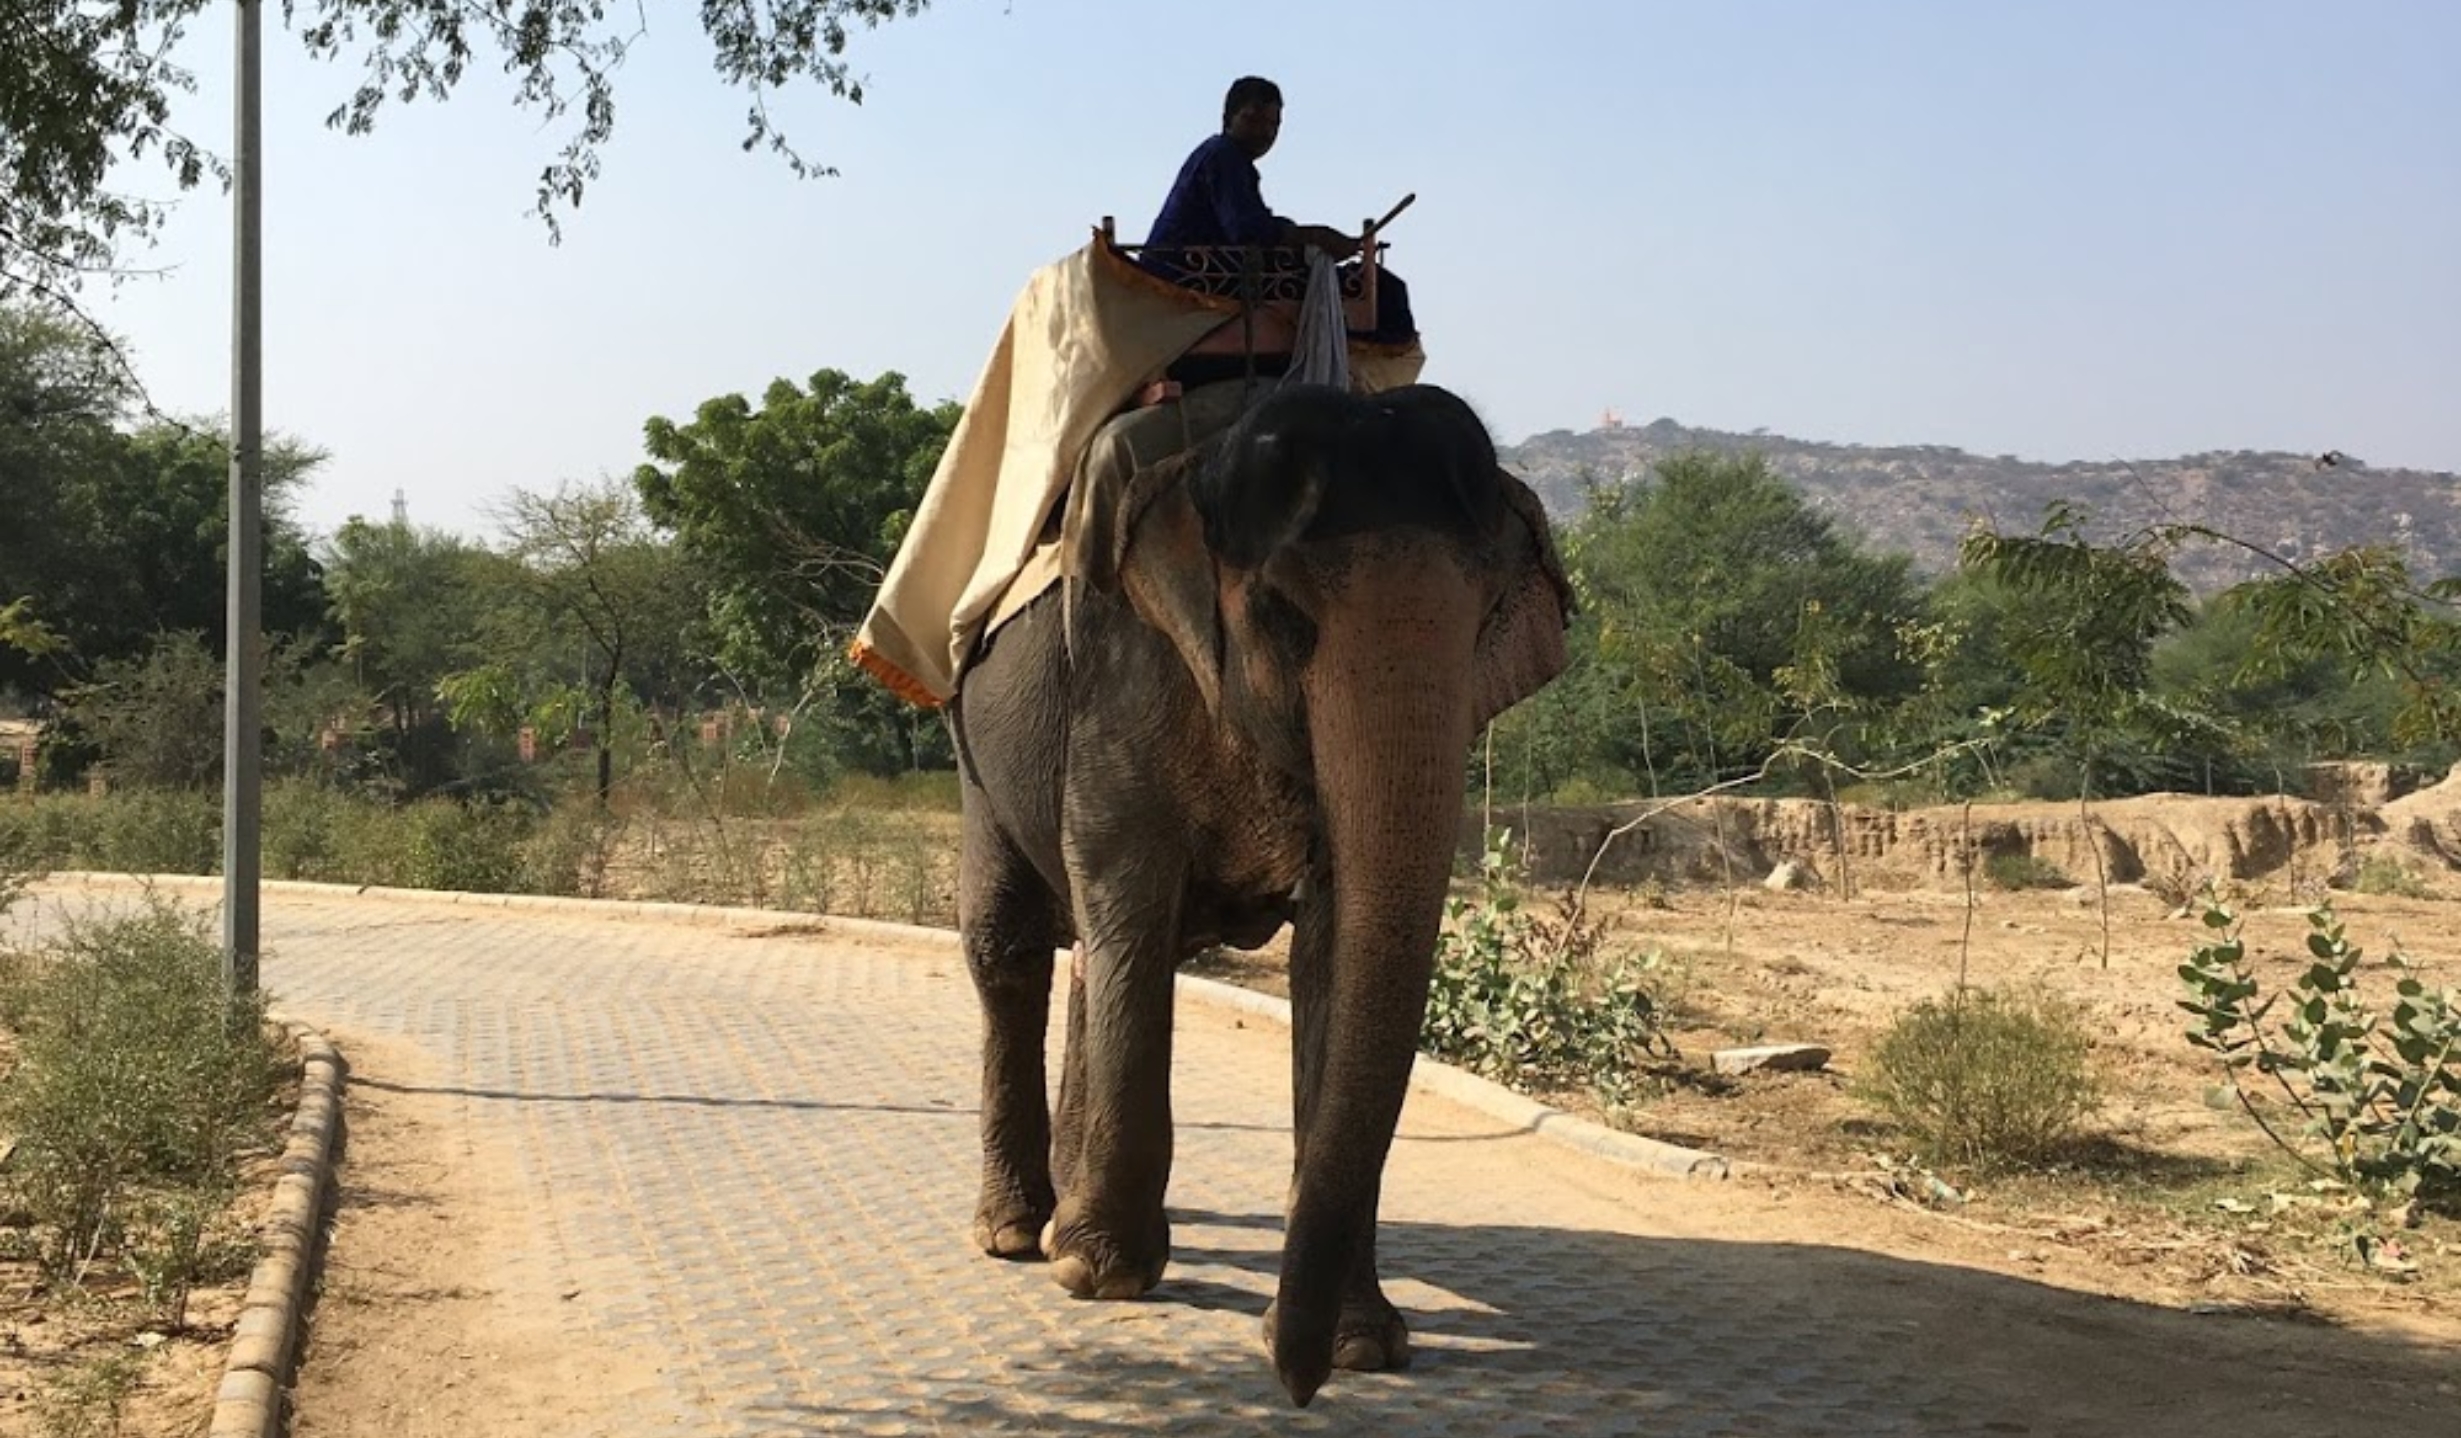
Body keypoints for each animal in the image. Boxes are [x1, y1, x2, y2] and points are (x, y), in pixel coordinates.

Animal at [949, 379, 1565, 1408]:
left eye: (1483, 616)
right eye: (1283, 613)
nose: (1296, 1380)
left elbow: (1334, 948)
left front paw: (1364, 1343)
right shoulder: (1121, 679)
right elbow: (1130, 897)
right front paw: (1100, 1276)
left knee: (1089, 957)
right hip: (972, 748)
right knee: (1016, 948)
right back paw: (1014, 1234)